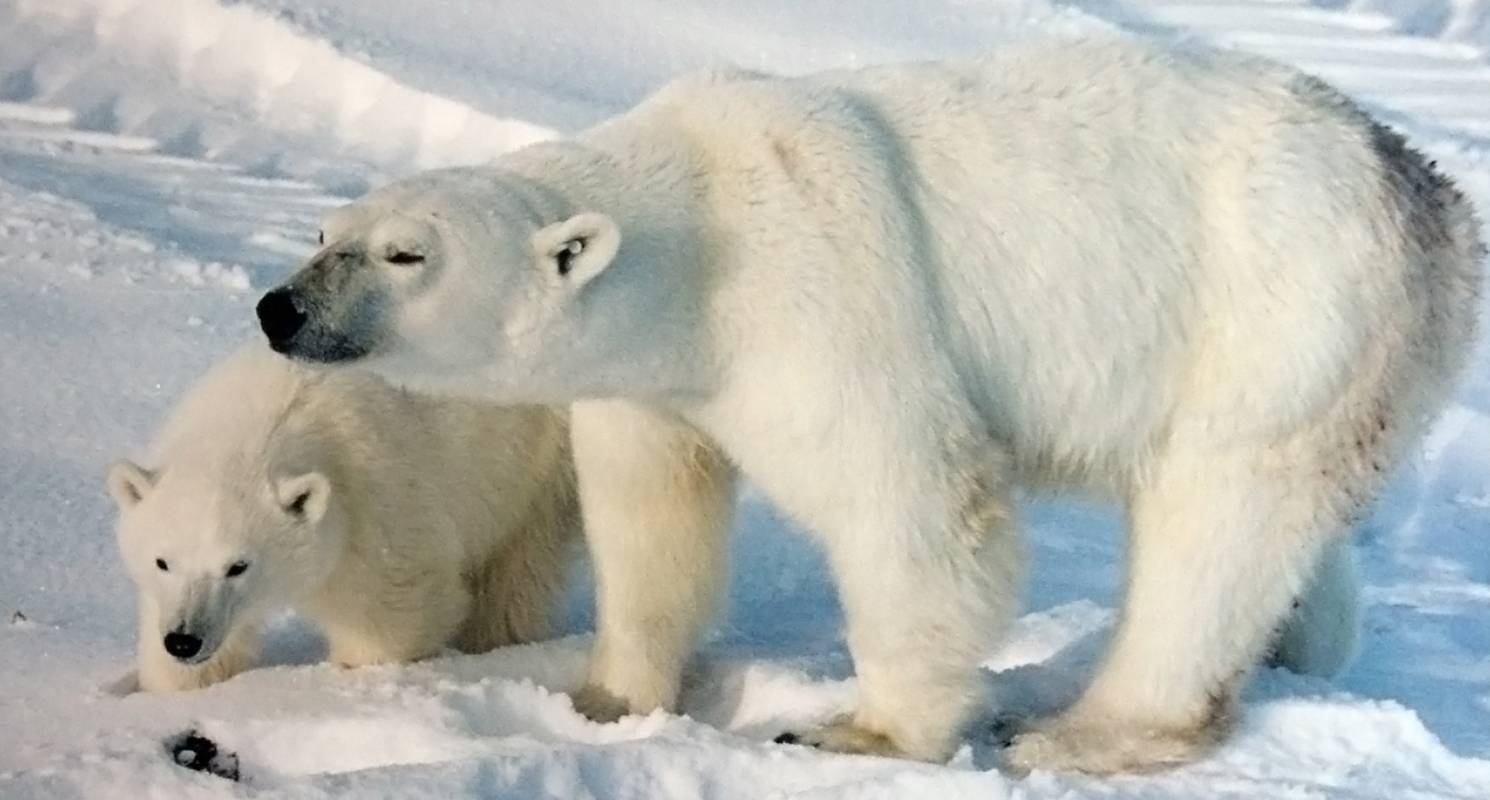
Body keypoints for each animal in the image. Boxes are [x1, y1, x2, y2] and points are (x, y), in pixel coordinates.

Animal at [256, 38, 1478, 774]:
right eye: (325, 232)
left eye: (406, 254)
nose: (279, 308)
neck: (698, 222)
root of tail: (1433, 200)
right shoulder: (656, 381)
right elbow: (650, 517)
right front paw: (601, 695)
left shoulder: (816, 298)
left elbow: (915, 502)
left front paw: (862, 728)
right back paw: (1301, 640)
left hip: (1278, 309)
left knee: (1213, 525)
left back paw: (1084, 729)